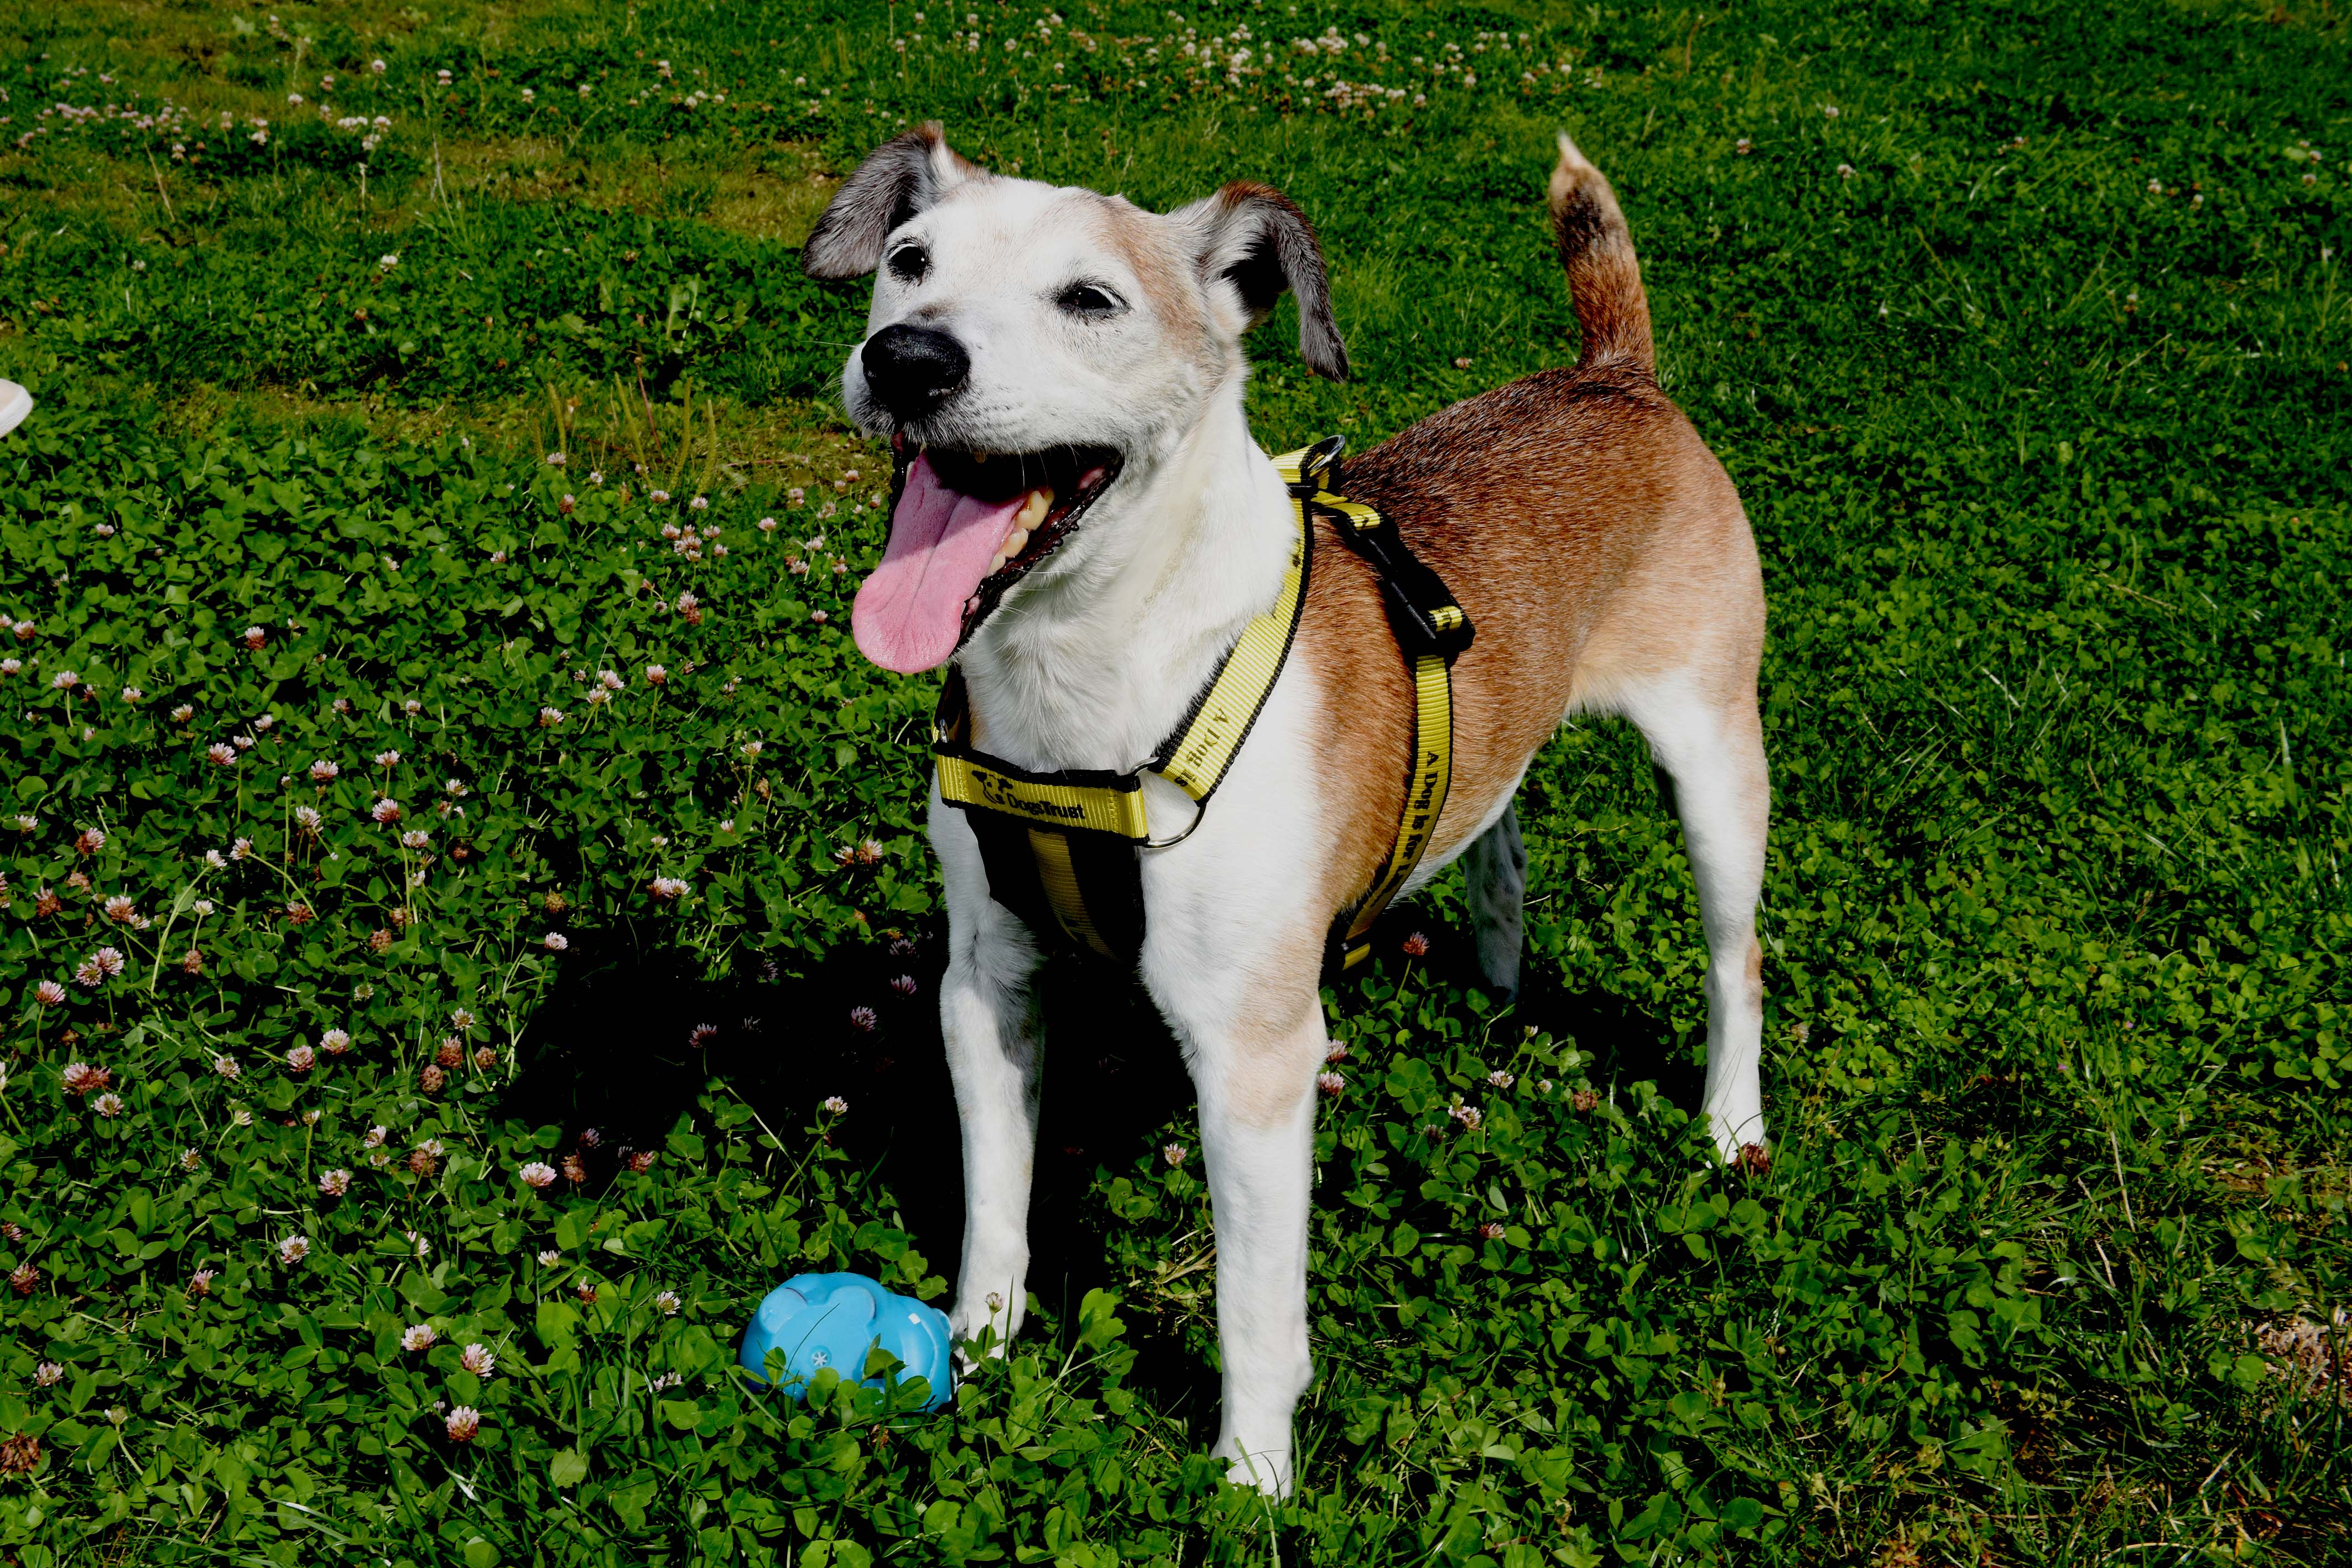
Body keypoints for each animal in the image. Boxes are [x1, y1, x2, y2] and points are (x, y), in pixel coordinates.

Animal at [803, 125, 1768, 1495]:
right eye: (908, 262)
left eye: (1090, 300)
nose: (907, 357)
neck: (1086, 683)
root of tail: (1612, 373)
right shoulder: (986, 982)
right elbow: (995, 1208)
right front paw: (976, 1355)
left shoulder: (1254, 1056)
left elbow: (1254, 1305)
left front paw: (1250, 1481)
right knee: (1498, 837)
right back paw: (1495, 983)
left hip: (1713, 762)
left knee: (1734, 961)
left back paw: (1730, 1124)